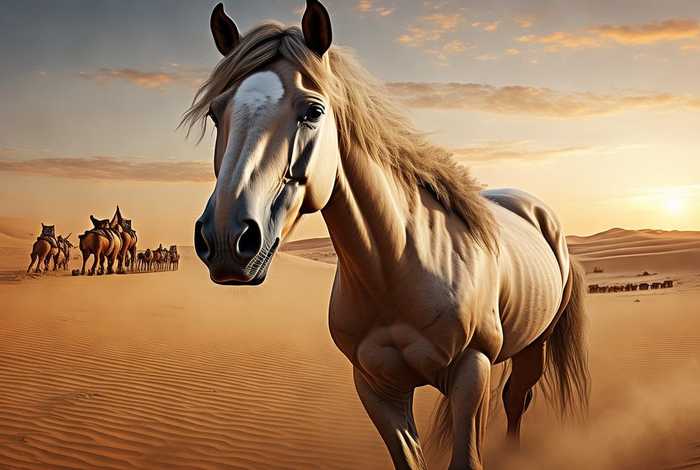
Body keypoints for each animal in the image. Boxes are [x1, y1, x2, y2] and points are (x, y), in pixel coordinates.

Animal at [185, 3, 590, 469]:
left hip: (532, 348)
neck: (397, 265)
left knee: (516, 399)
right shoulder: (376, 387)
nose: (225, 239)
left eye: (313, 112)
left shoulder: (472, 370)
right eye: (216, 113)